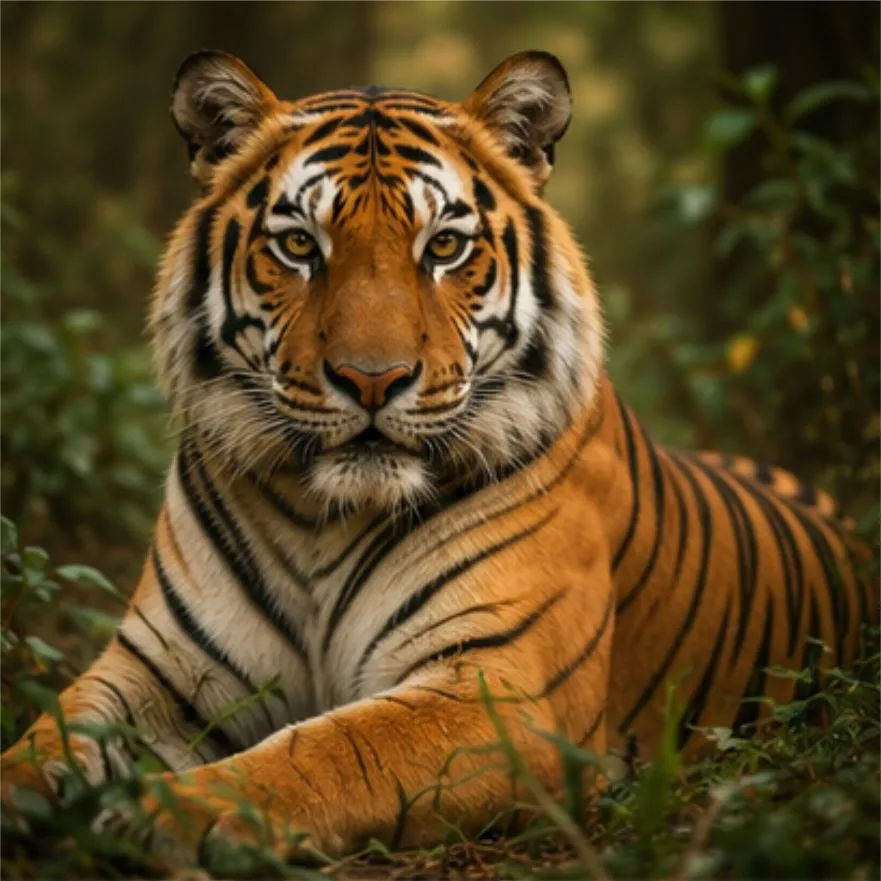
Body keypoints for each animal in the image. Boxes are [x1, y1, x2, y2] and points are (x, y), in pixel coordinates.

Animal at [1, 49, 874, 867]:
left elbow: (324, 751)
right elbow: (51, 732)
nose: (371, 379)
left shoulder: (498, 693)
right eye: (298, 245)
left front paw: (175, 811)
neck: (321, 515)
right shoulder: (159, 669)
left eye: (445, 246)